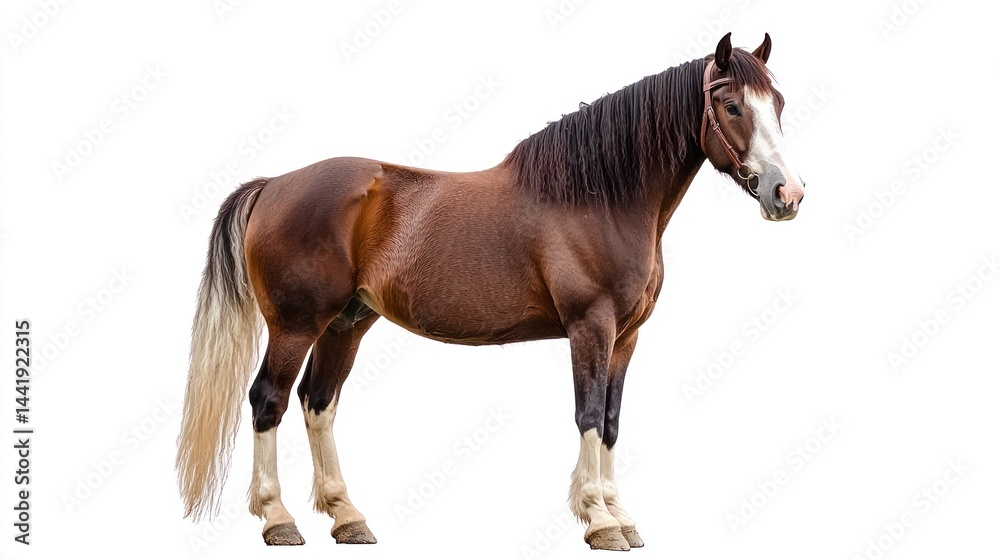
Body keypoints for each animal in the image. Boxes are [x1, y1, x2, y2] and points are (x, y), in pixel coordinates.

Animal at [176, 32, 805, 551]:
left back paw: (347, 517)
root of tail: (274, 185)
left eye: (777, 104)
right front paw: (599, 521)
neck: (602, 198)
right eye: (731, 106)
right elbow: (587, 414)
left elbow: (611, 420)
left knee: (318, 402)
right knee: (269, 401)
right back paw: (277, 519)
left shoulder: (625, 338)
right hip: (296, 325)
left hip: (346, 324)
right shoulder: (591, 327)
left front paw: (622, 517)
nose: (788, 194)